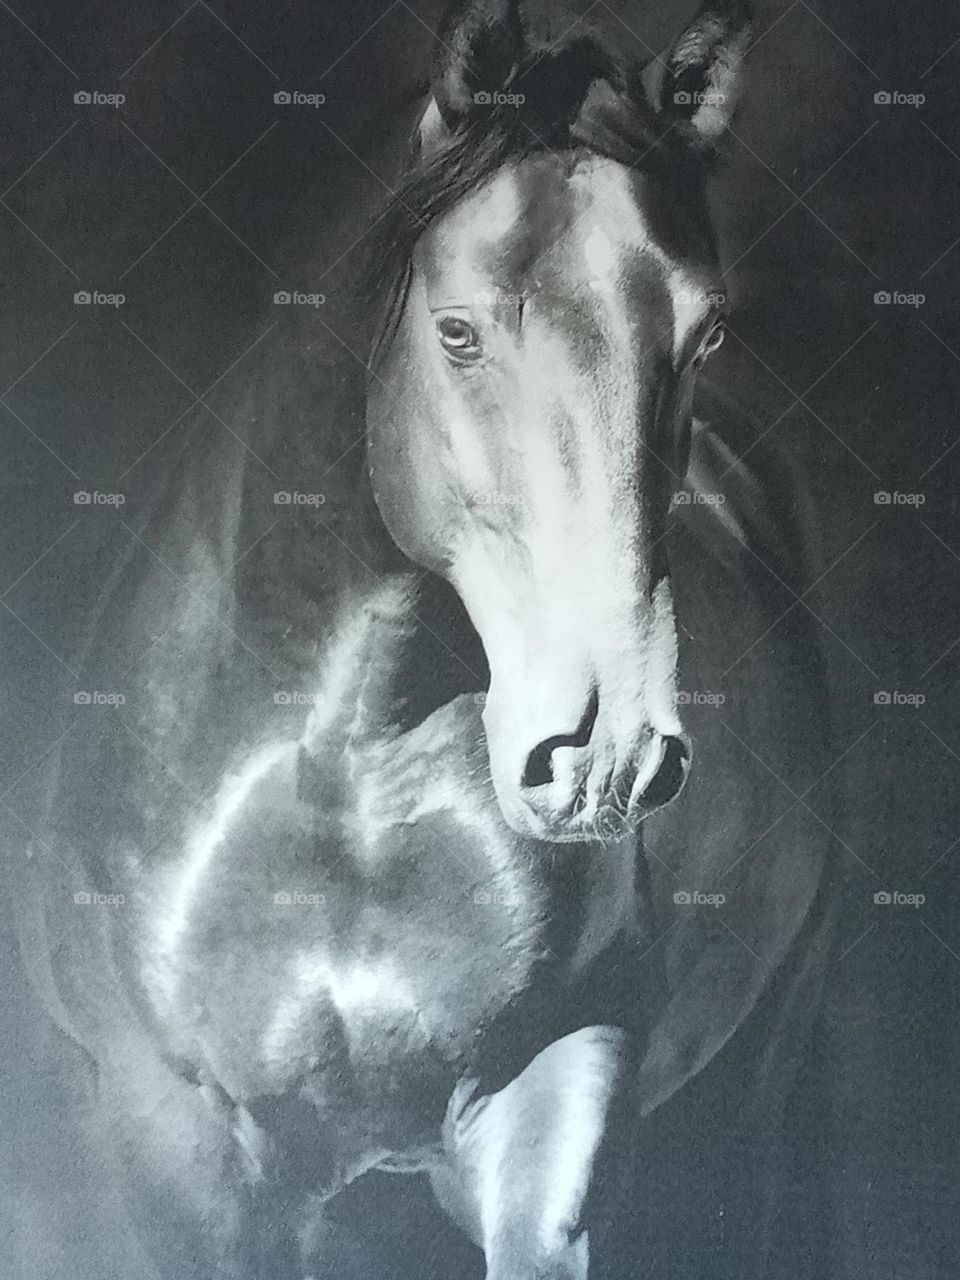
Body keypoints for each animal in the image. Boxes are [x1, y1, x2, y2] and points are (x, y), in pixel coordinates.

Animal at [15, 1, 837, 1277]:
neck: (340, 768)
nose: (604, 755)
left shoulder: (551, 1091)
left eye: (703, 334)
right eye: (456, 331)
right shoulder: (181, 1142)